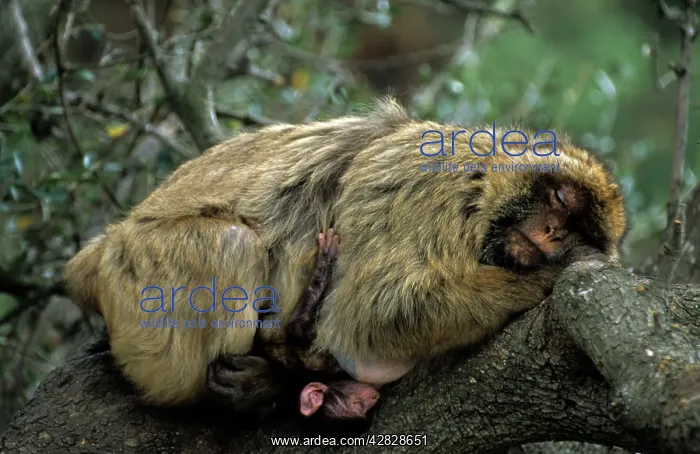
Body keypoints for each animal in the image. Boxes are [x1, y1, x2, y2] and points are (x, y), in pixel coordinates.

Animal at [64, 97, 627, 416]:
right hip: (139, 276)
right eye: (561, 200)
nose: (555, 233)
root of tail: (92, 258)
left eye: (579, 226)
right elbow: (379, 311)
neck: (480, 188)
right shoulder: (434, 186)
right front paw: (551, 278)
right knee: (233, 245)